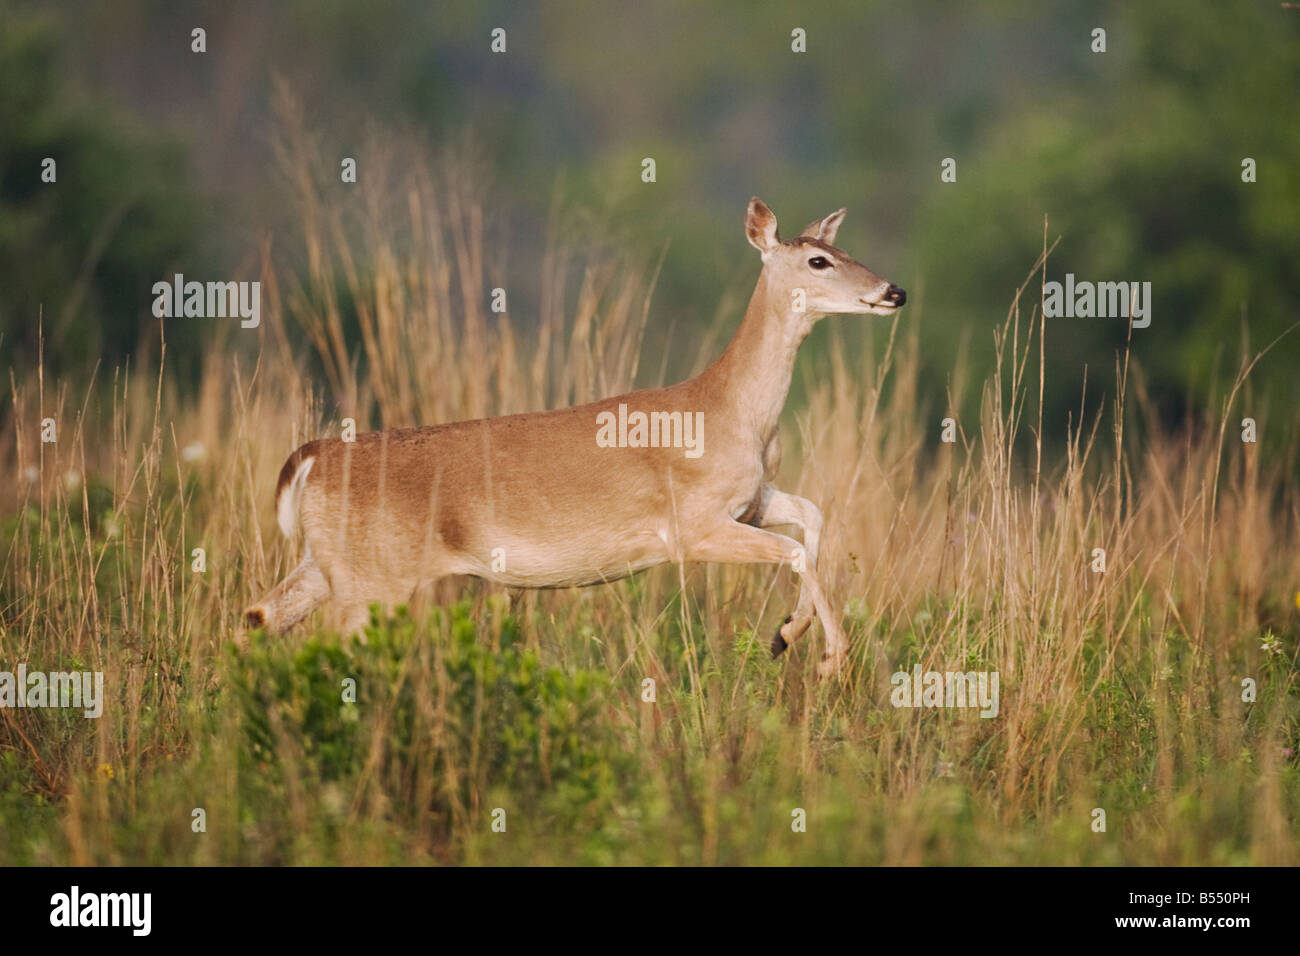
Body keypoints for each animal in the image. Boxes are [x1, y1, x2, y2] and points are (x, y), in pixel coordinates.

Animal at [248, 197, 909, 681]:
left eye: (843, 248)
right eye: (818, 261)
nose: (893, 291)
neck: (731, 413)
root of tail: (314, 456)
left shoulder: (751, 500)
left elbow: (813, 517)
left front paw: (784, 634)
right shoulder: (691, 526)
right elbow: (796, 550)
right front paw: (829, 658)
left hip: (330, 562)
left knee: (258, 616)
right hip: (373, 578)